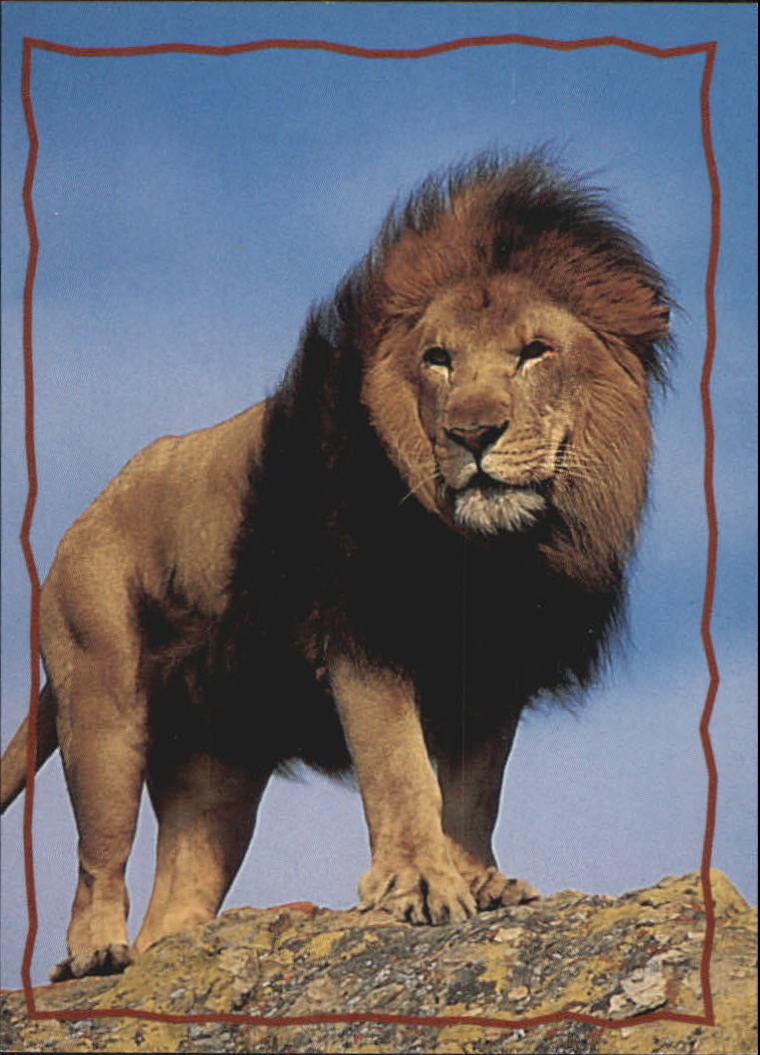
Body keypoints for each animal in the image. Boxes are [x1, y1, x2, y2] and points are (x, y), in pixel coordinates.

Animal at [0, 152, 670, 982]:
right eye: (438, 359)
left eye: (534, 352)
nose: (472, 433)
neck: (494, 553)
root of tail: (83, 517)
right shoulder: (362, 636)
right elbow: (400, 769)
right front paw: (419, 882)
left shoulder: (493, 674)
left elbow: (476, 791)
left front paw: (480, 878)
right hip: (102, 698)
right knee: (97, 859)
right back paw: (94, 954)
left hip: (215, 767)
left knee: (174, 906)